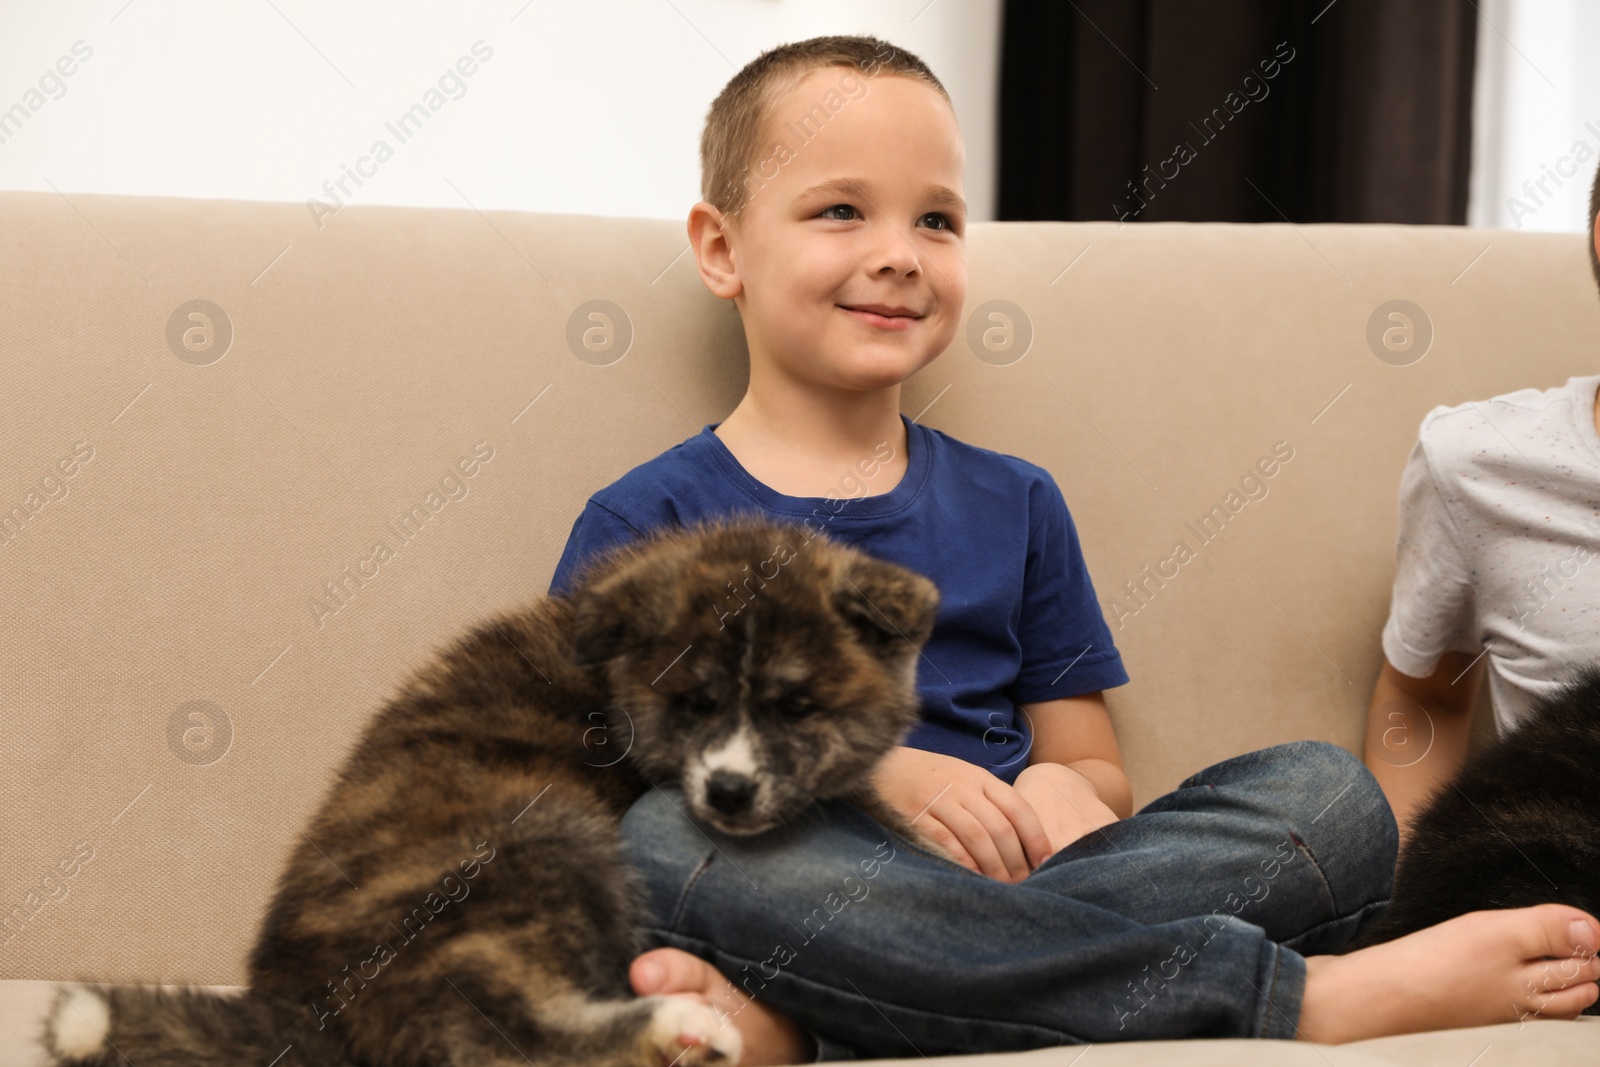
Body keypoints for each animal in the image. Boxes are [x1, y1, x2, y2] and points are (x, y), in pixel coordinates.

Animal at [43, 518, 940, 1067]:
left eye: (797, 706)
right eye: (695, 703)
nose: (727, 791)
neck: (612, 690)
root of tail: (307, 1005)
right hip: (541, 844)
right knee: (510, 1041)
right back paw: (674, 1024)